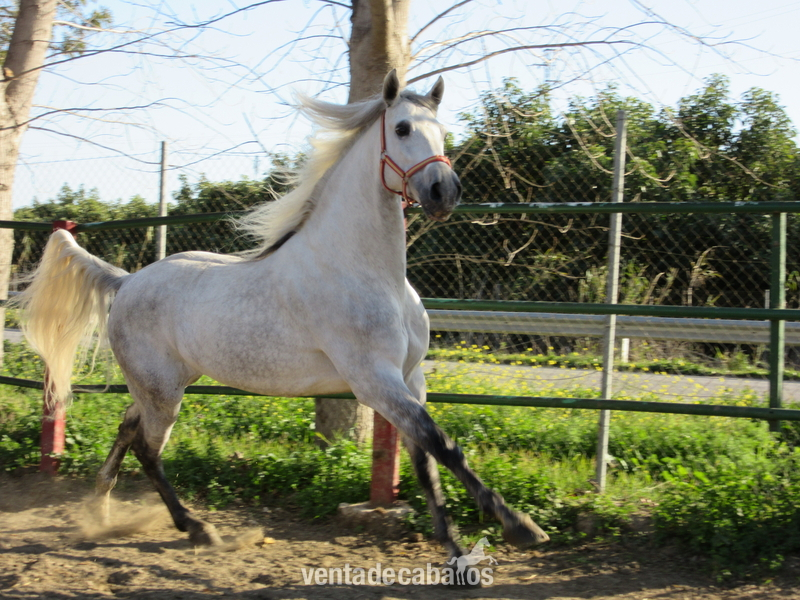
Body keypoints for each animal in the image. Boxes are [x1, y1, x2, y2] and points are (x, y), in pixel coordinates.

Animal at [16, 69, 549, 560]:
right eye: (401, 128)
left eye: (442, 131)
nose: (444, 192)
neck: (367, 273)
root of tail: (125, 282)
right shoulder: (374, 380)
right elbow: (442, 444)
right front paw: (517, 527)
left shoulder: (410, 378)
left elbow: (426, 458)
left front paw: (457, 545)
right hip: (162, 390)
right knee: (149, 449)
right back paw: (196, 528)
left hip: (161, 385)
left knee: (128, 430)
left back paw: (100, 510)